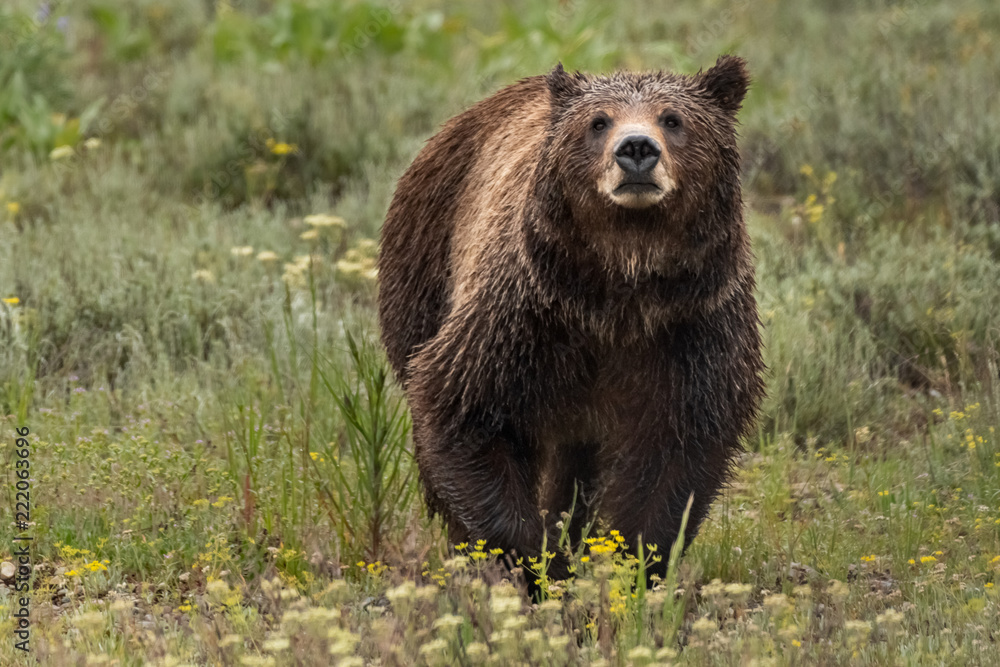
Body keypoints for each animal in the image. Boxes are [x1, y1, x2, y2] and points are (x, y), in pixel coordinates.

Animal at [378, 56, 760, 580]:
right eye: (598, 121)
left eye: (673, 119)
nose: (636, 148)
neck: (619, 291)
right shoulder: (522, 318)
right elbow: (462, 411)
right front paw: (541, 562)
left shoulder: (693, 329)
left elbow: (676, 453)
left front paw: (630, 563)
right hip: (425, 270)